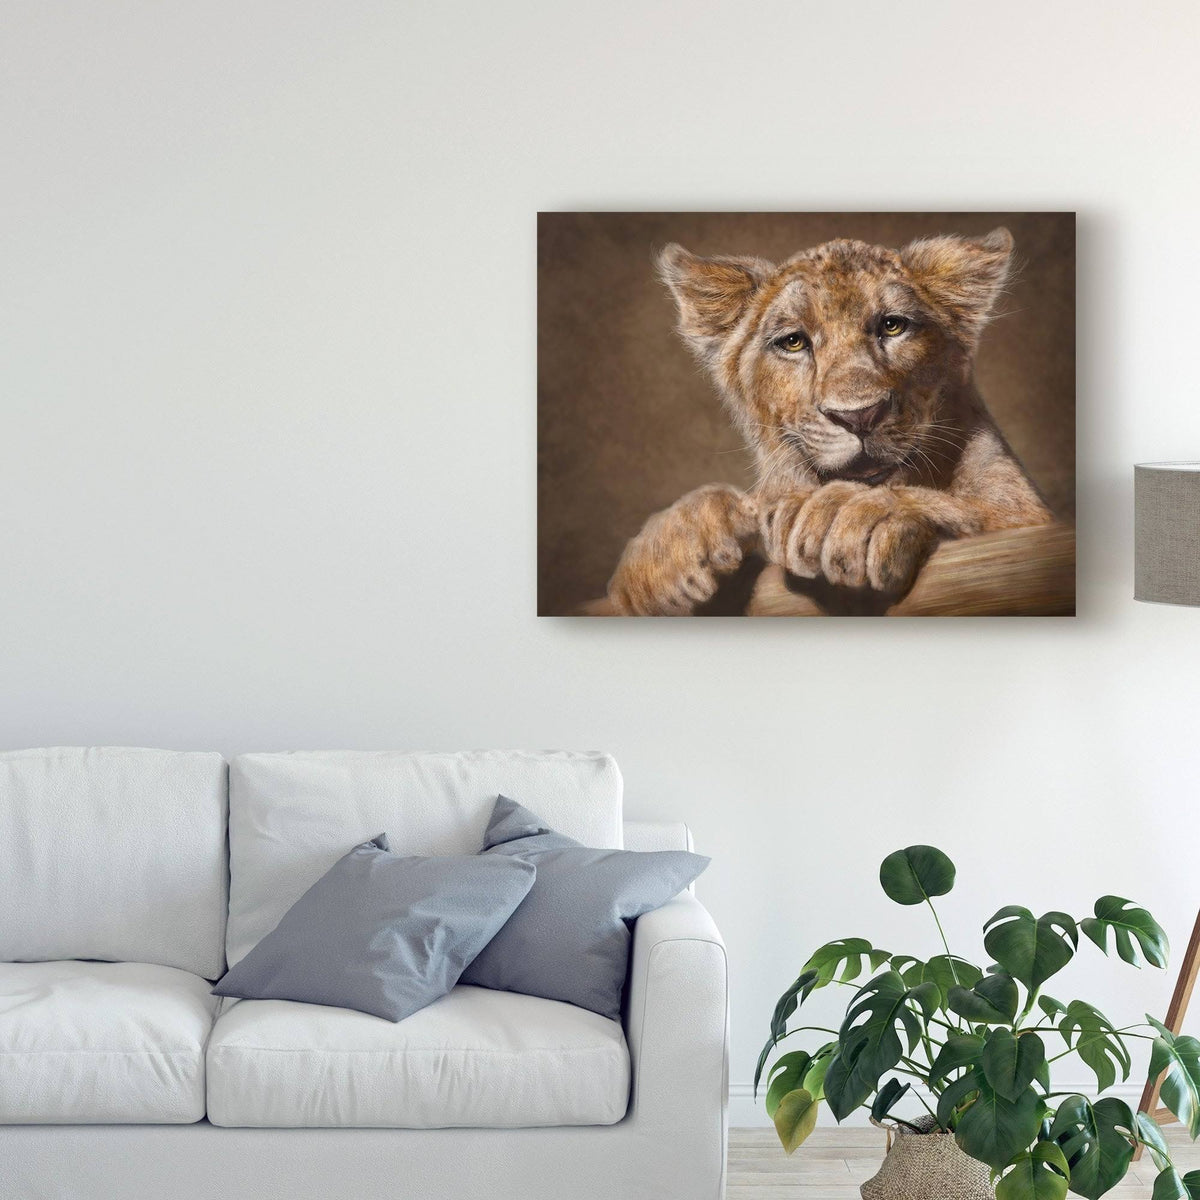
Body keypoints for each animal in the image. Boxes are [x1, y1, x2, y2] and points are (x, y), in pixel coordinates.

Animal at [606, 228, 1053, 615]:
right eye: (793, 341)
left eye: (892, 325)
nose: (858, 416)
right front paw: (664, 552)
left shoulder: (1025, 513)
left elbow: (981, 514)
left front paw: (848, 514)